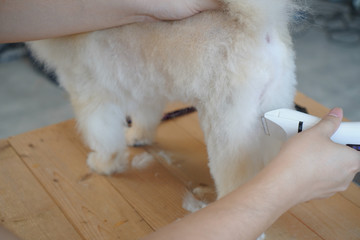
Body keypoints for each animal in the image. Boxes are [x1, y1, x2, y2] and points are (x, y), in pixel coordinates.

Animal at [28, 0, 296, 199]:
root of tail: (259, 29)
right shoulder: (144, 84)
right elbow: (144, 116)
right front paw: (138, 137)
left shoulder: (90, 93)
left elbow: (103, 137)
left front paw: (104, 164)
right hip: (272, 111)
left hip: (230, 129)